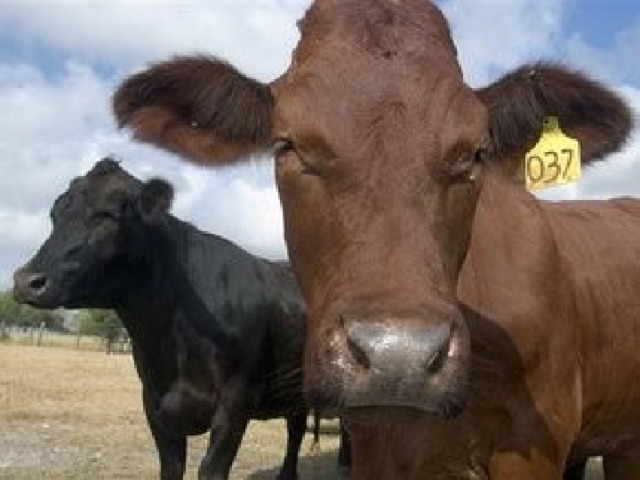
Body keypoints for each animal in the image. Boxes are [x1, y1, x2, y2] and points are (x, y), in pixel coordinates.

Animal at [13, 158, 324, 480]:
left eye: (109, 215)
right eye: (54, 214)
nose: (26, 281)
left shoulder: (235, 402)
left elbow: (211, 470)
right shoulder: (155, 402)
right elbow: (171, 466)